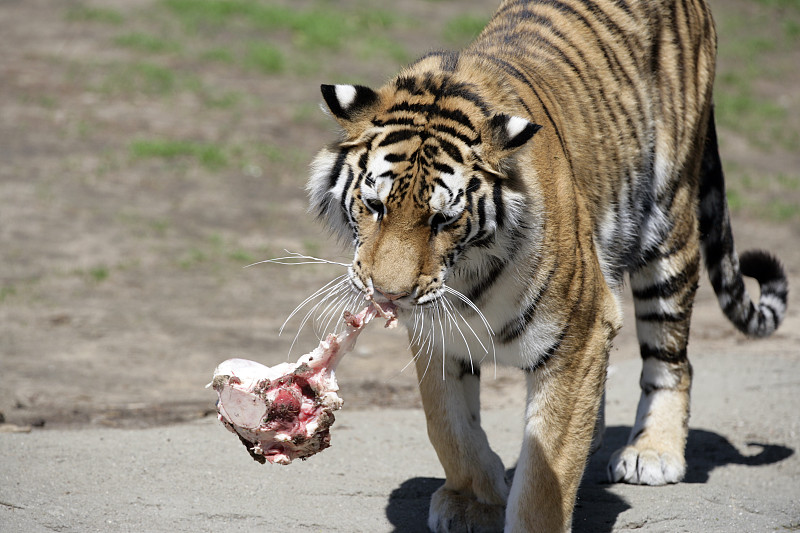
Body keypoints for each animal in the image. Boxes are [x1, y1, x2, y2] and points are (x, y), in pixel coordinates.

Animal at [304, 0, 788, 528]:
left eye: (444, 219)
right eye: (375, 206)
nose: (389, 294)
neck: (466, 274)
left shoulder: (580, 329)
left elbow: (546, 470)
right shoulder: (437, 334)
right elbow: (448, 425)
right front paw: (473, 501)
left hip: (668, 224)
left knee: (671, 359)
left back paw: (653, 452)